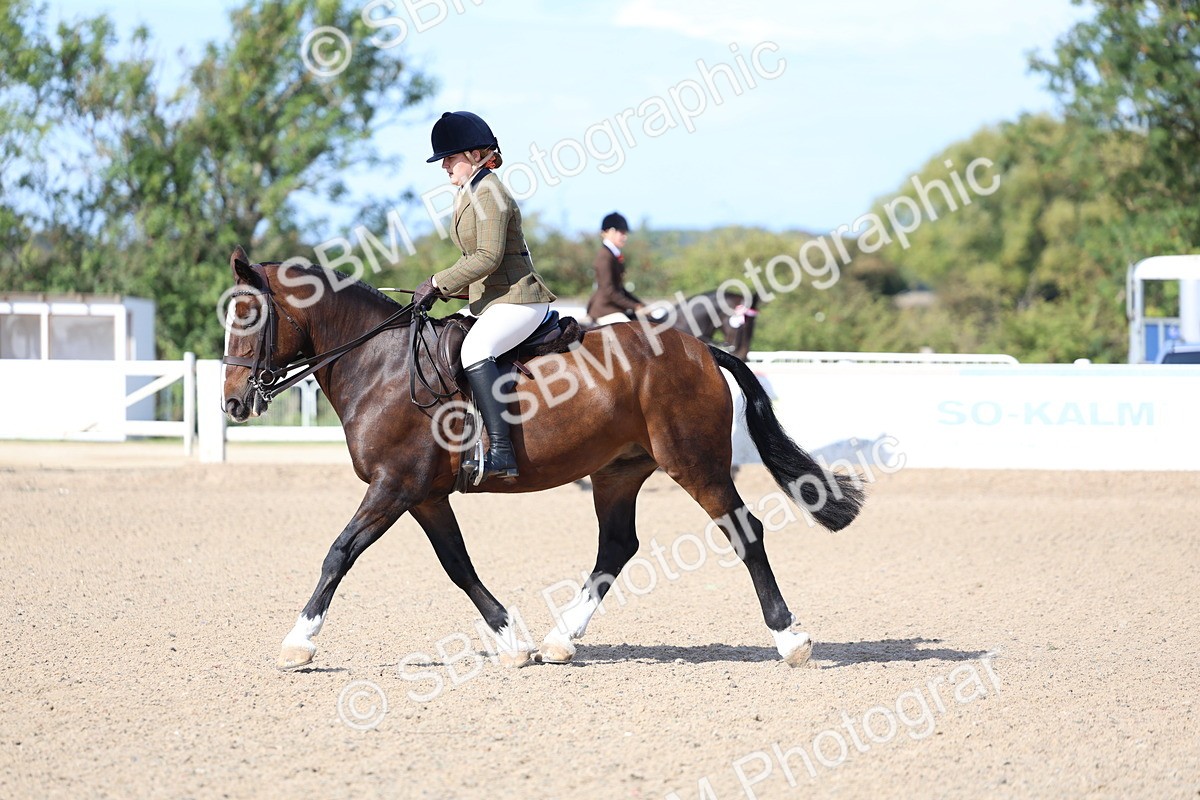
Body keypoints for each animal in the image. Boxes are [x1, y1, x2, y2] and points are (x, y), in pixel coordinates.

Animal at [220, 247, 863, 671]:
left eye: (249, 316)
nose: (233, 402)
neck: (382, 366)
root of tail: (698, 347)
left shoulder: (393, 486)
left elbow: (339, 553)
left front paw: (298, 643)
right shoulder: (424, 495)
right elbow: (458, 566)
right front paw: (512, 640)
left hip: (695, 464)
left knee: (743, 530)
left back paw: (791, 640)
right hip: (617, 471)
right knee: (616, 547)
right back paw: (559, 641)